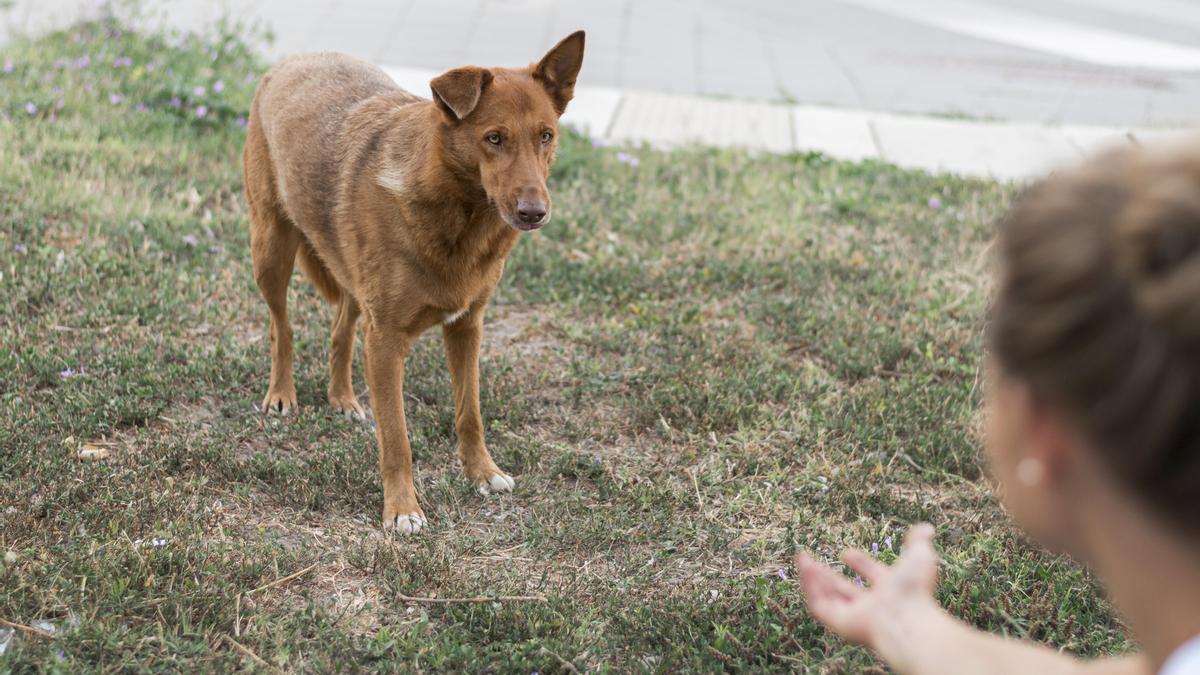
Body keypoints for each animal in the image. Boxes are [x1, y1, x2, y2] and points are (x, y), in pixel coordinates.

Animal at [243, 31, 585, 533]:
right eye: (494, 138)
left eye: (546, 136)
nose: (534, 213)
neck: (460, 215)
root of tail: (293, 59)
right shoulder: (386, 342)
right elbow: (396, 437)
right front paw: (402, 509)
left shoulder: (466, 328)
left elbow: (470, 414)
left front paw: (482, 473)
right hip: (270, 250)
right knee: (280, 326)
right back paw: (282, 394)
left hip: (348, 278)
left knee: (342, 326)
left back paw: (342, 397)